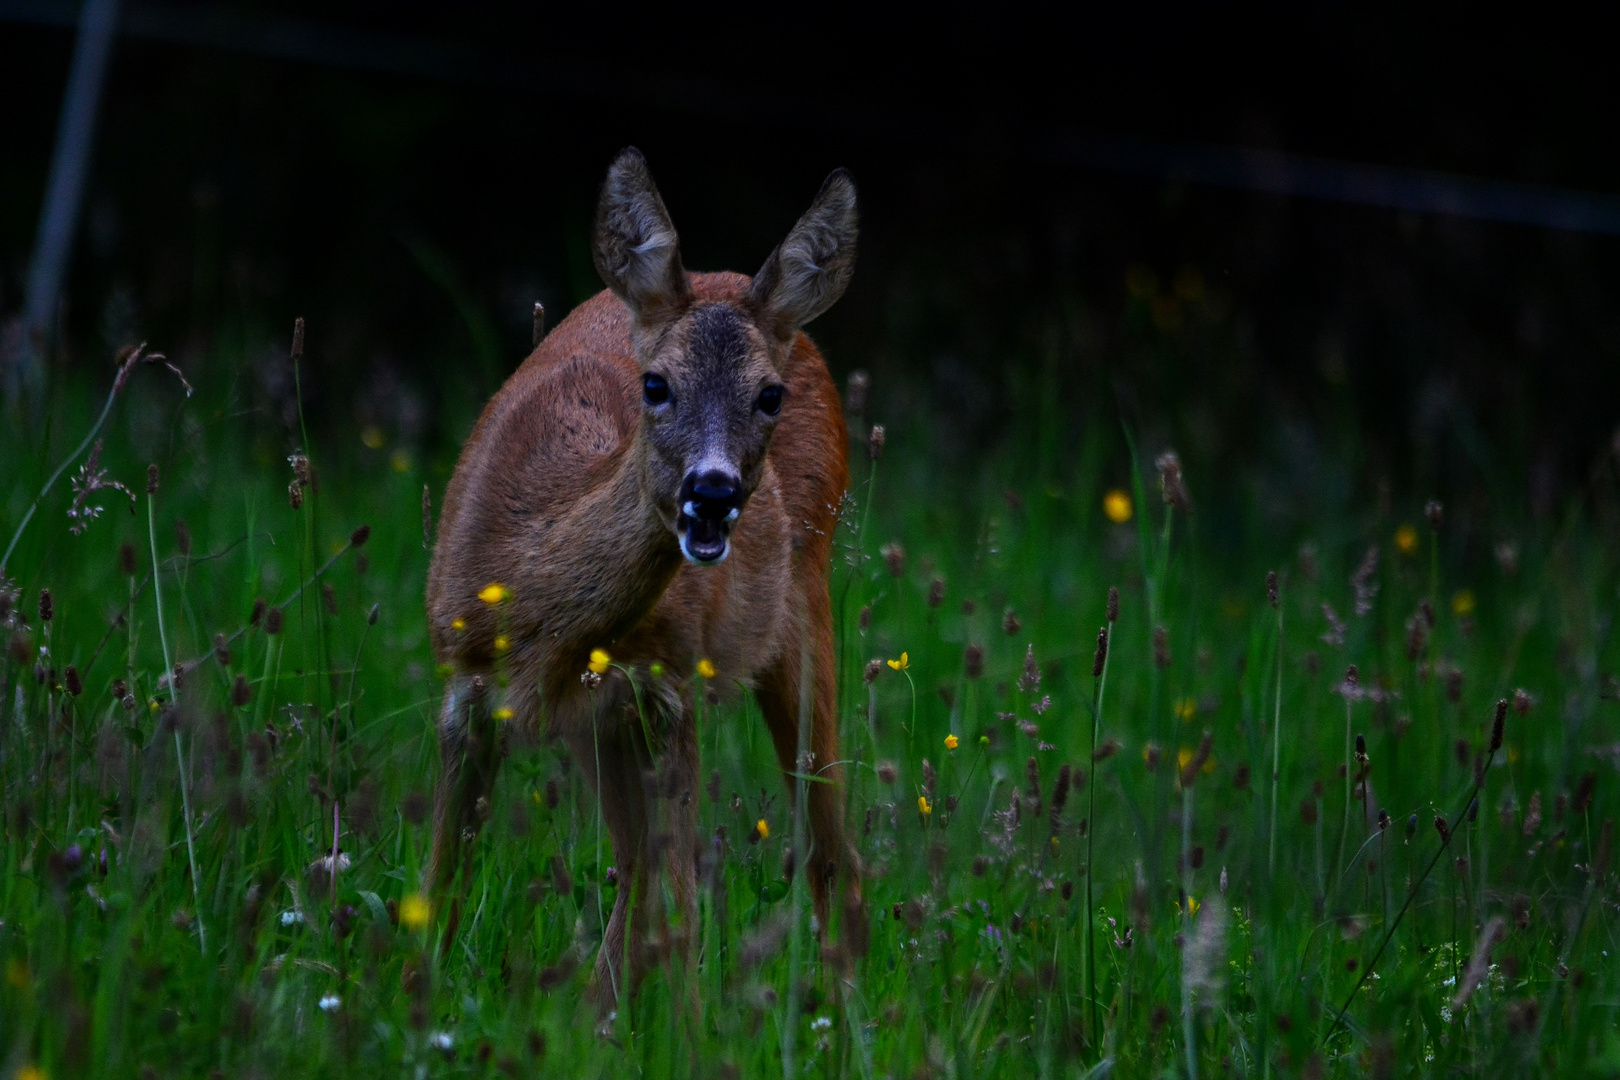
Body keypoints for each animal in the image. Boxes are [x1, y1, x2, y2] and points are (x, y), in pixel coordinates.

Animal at [424, 148, 868, 1003]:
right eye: (655, 384)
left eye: (768, 394)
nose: (714, 492)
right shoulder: (466, 688)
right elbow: (441, 883)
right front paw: (405, 999)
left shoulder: (671, 687)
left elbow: (685, 904)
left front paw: (687, 1027)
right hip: (601, 727)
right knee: (634, 864)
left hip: (804, 615)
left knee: (828, 851)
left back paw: (840, 1016)